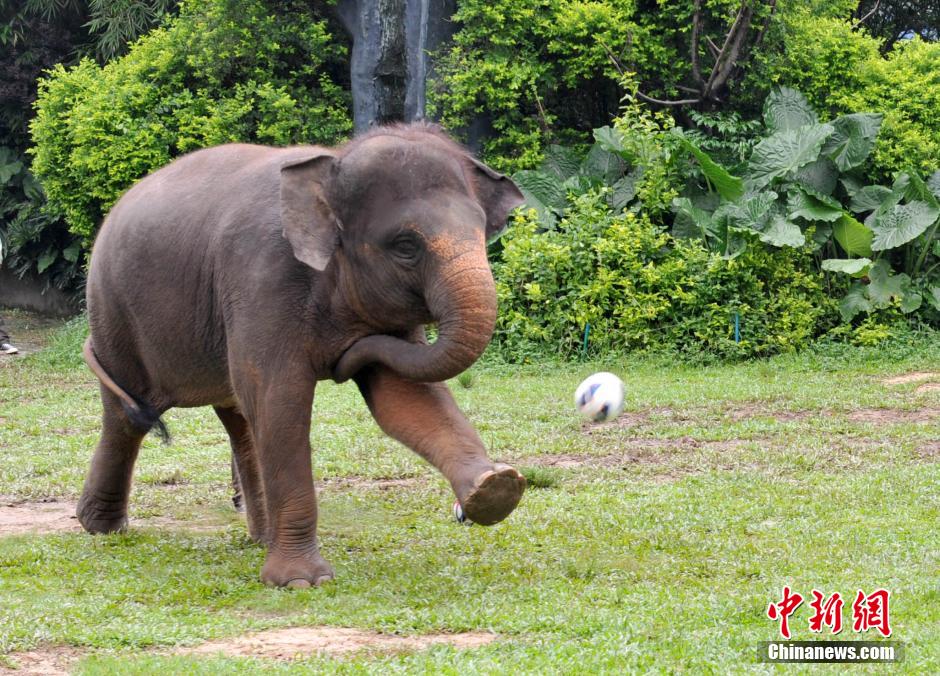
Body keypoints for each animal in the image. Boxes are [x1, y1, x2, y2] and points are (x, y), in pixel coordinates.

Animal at [77, 124, 524, 588]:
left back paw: (259, 537)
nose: (345, 353)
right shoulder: (262, 278)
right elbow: (281, 401)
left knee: (237, 414)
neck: (330, 166)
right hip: (112, 311)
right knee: (129, 413)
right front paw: (301, 581)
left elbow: (404, 399)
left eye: (482, 231)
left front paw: (496, 488)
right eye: (405, 246)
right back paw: (102, 527)